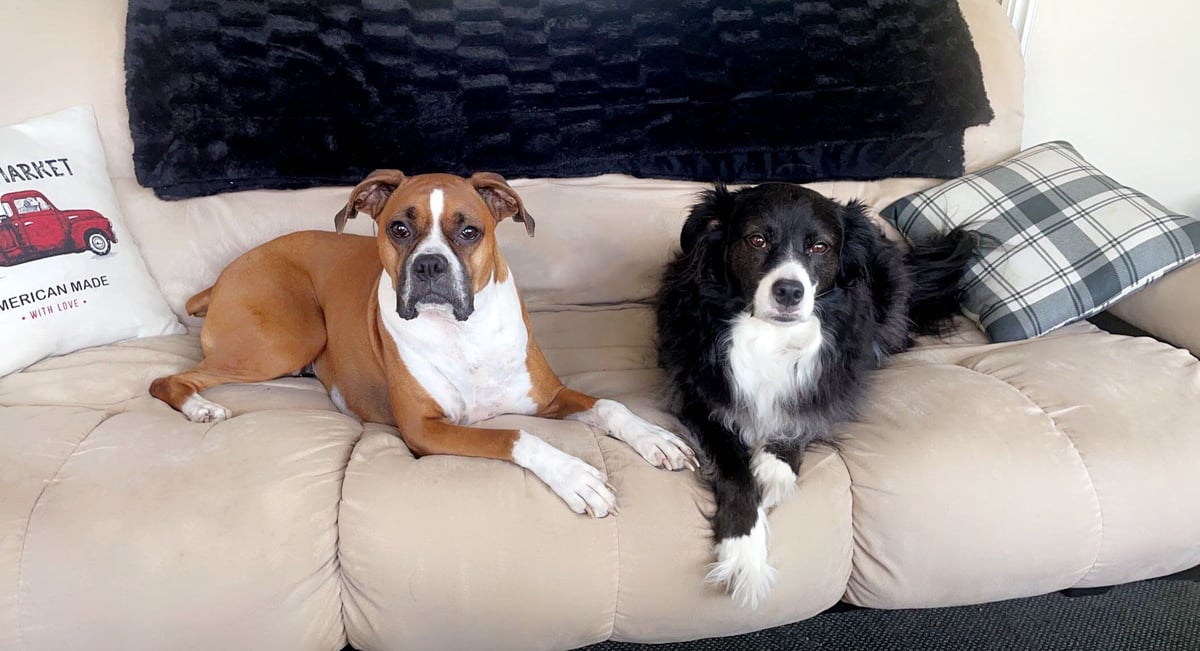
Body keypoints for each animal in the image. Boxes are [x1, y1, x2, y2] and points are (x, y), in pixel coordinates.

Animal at [150, 170, 696, 518]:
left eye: (469, 231)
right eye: (399, 228)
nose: (430, 265)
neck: (462, 334)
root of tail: (224, 274)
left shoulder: (551, 396)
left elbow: (609, 405)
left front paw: (656, 438)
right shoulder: (426, 429)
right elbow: (515, 435)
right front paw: (575, 475)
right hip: (287, 338)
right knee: (166, 380)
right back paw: (201, 409)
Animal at [657, 181, 974, 610]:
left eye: (820, 247)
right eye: (756, 239)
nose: (789, 291)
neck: (769, 334)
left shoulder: (835, 384)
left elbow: (803, 417)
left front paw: (774, 468)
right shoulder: (695, 394)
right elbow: (734, 469)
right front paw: (744, 554)